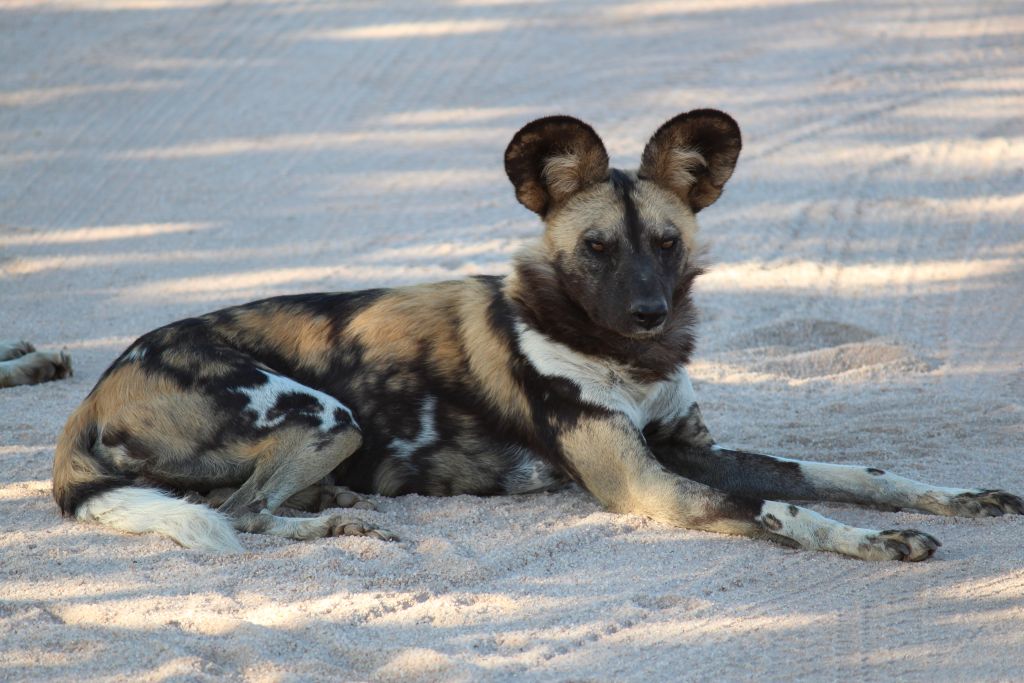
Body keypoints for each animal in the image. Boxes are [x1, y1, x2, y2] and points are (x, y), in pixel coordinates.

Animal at [52, 110, 1022, 559]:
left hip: (328, 428)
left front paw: (950, 498)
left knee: (246, 506)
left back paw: (338, 511)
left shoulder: (686, 447)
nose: (649, 311)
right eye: (595, 249)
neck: (629, 357)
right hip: (327, 415)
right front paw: (868, 542)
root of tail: (96, 389)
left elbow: (848, 474)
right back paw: (329, 521)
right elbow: (785, 508)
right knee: (239, 513)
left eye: (666, 243)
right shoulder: (648, 482)